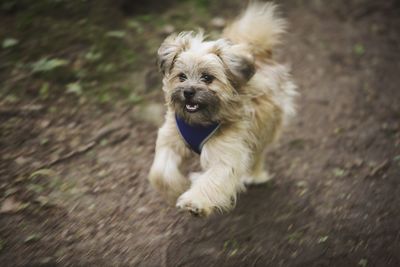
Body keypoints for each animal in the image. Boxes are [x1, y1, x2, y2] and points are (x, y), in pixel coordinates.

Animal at [148, 2, 296, 217]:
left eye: (207, 78)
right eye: (182, 77)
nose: (188, 92)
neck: (200, 122)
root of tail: (260, 54)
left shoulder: (226, 155)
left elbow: (213, 179)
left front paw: (194, 202)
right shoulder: (171, 139)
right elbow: (161, 171)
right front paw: (176, 188)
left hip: (263, 129)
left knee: (256, 155)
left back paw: (253, 176)